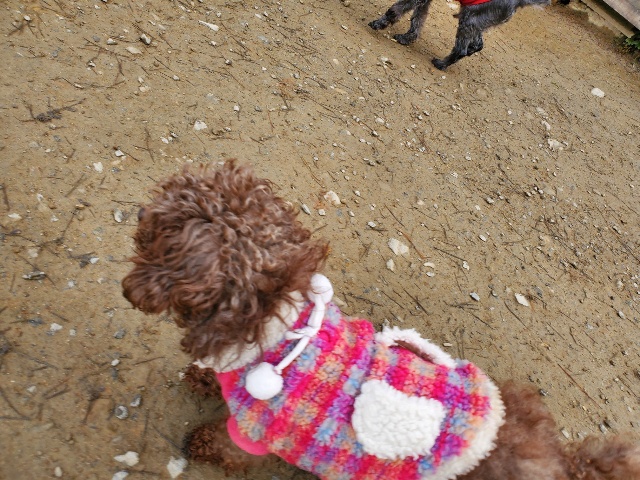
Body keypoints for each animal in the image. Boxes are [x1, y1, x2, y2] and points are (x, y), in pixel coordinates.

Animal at [123, 161, 640, 479]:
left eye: (164, 226)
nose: (139, 208)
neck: (276, 328)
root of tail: (565, 460)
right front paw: (203, 377)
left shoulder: (258, 432)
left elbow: (224, 445)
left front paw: (199, 443)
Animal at [369, 0, 550, 70]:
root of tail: (518, 3)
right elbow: (417, 20)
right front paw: (407, 38)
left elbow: (395, 10)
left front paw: (379, 23)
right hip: (475, 19)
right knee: (478, 44)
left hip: (469, 19)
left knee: (461, 50)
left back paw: (441, 64)